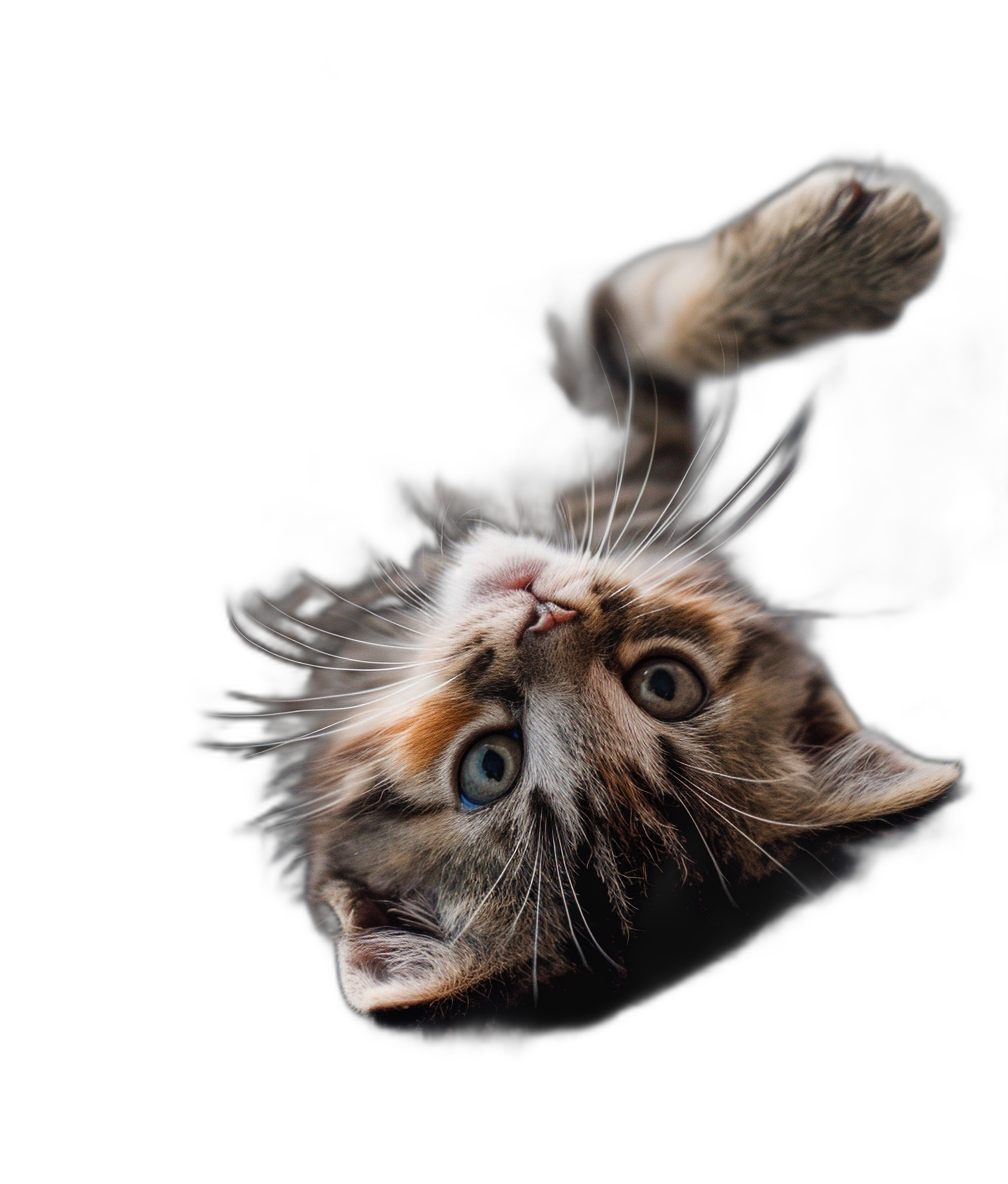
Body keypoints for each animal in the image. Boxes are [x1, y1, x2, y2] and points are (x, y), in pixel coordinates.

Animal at [228, 162, 961, 1032]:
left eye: (663, 685)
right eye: (490, 767)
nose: (546, 616)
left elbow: (621, 336)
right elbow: (623, 331)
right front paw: (853, 249)